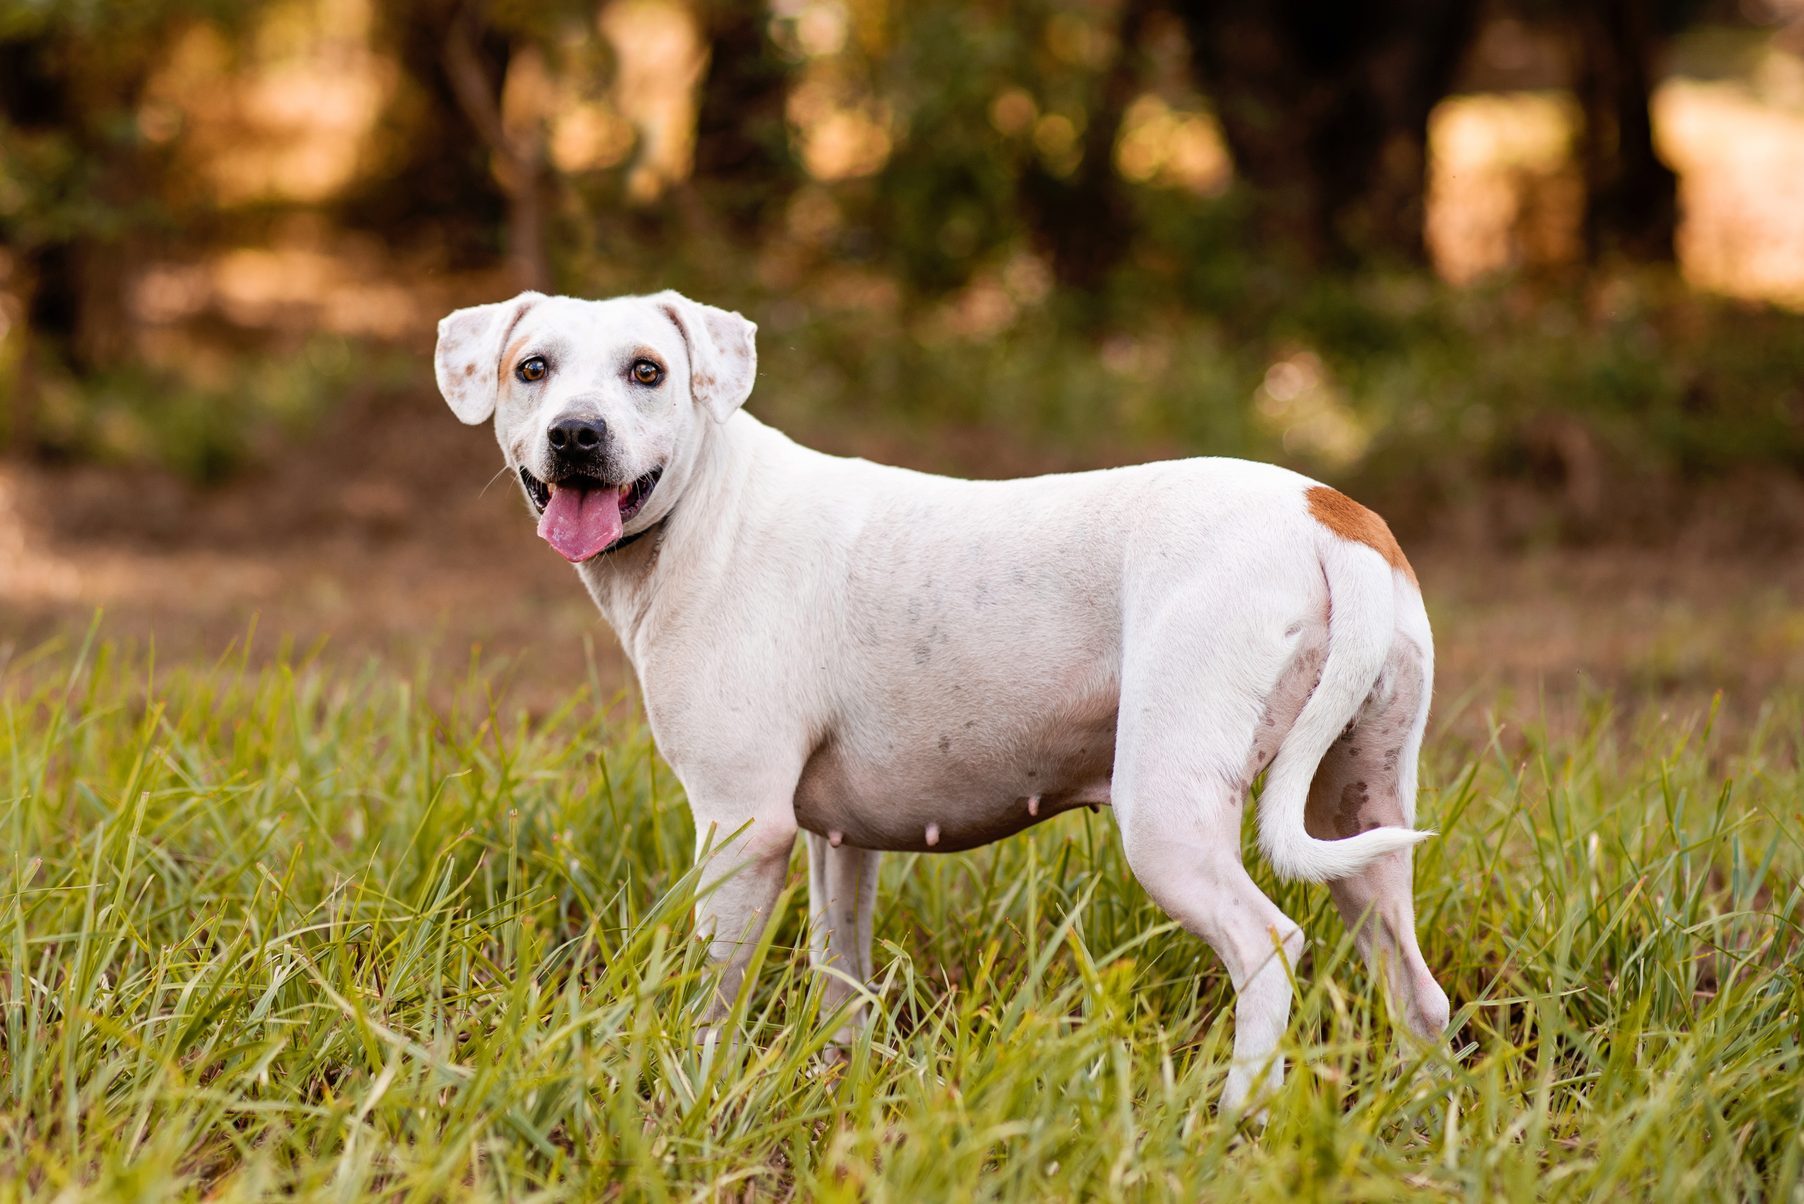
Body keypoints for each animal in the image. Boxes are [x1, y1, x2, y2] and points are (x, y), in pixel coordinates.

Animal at [436, 288, 1450, 1111]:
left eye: (647, 371)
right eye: (532, 369)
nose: (576, 433)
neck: (703, 509)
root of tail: (1329, 515)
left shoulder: (740, 826)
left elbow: (713, 997)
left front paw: (693, 1094)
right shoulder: (836, 842)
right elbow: (839, 970)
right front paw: (836, 1083)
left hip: (1171, 819)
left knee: (1268, 947)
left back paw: (1231, 1121)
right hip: (1360, 813)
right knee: (1417, 989)